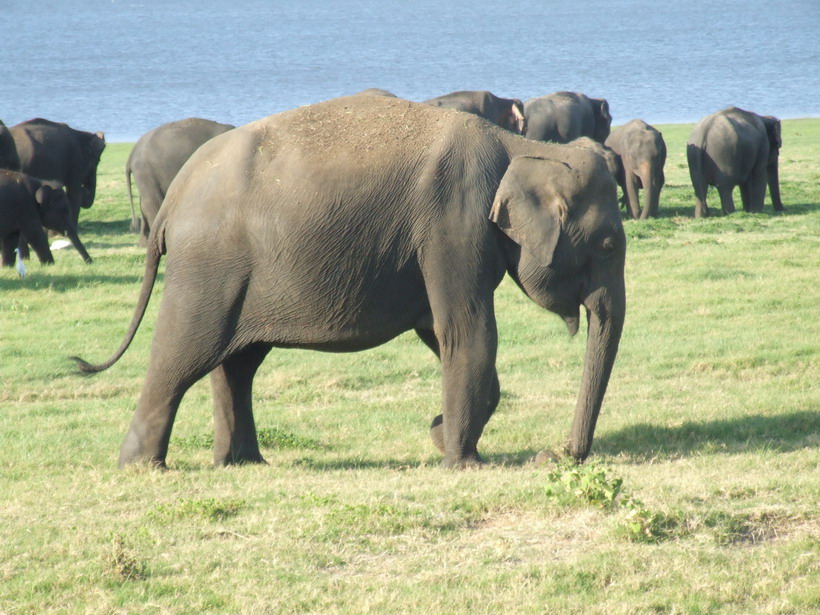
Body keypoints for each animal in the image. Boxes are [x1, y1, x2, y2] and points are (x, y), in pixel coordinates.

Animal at [73, 96, 628, 472]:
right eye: (608, 246)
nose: (555, 454)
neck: (522, 146)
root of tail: (175, 196)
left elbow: (438, 331)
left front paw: (441, 436)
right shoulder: (453, 222)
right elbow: (467, 331)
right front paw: (465, 463)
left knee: (237, 364)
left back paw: (244, 462)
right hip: (210, 264)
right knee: (184, 352)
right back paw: (144, 467)